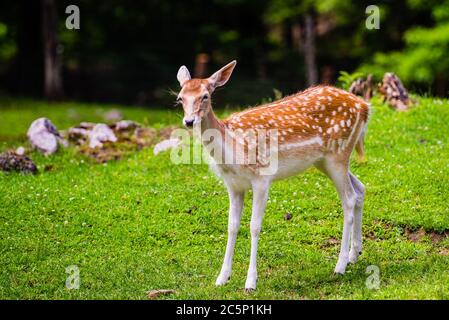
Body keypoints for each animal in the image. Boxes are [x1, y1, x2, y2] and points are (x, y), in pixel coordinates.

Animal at [174, 59, 368, 290]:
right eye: (180, 97)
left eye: (205, 95)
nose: (189, 121)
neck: (232, 150)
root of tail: (365, 107)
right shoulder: (233, 185)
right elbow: (232, 226)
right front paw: (222, 278)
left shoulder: (262, 178)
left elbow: (254, 226)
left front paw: (250, 281)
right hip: (325, 161)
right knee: (360, 188)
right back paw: (354, 255)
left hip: (338, 154)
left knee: (349, 199)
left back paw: (340, 265)